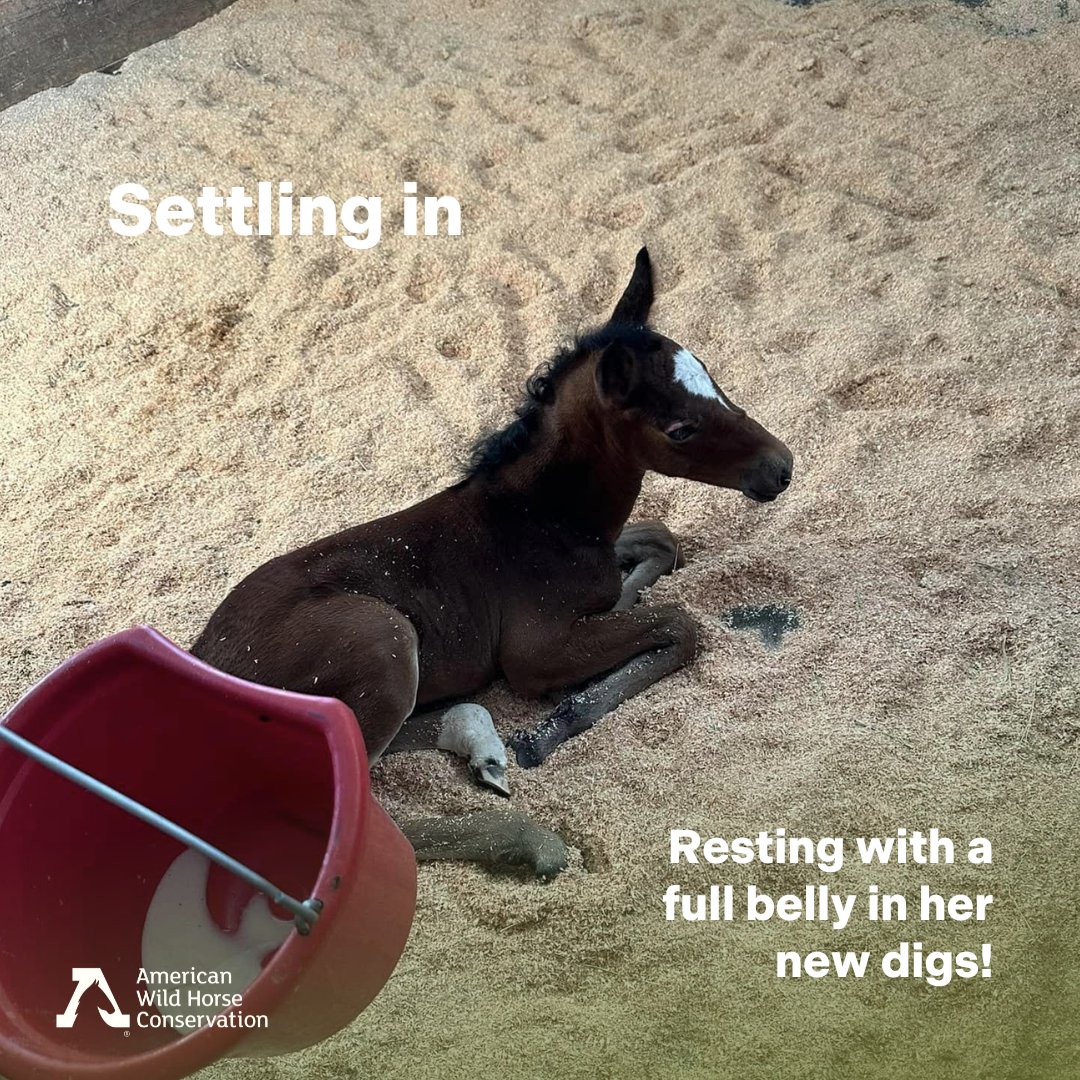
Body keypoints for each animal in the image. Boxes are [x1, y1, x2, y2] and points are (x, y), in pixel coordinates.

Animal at [191, 247, 793, 876]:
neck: (540, 517)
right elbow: (679, 623)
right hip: (383, 637)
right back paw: (526, 838)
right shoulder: (535, 649)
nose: (781, 467)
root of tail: (203, 667)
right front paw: (556, 721)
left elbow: (662, 541)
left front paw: (621, 598)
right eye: (680, 428)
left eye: (714, 378)